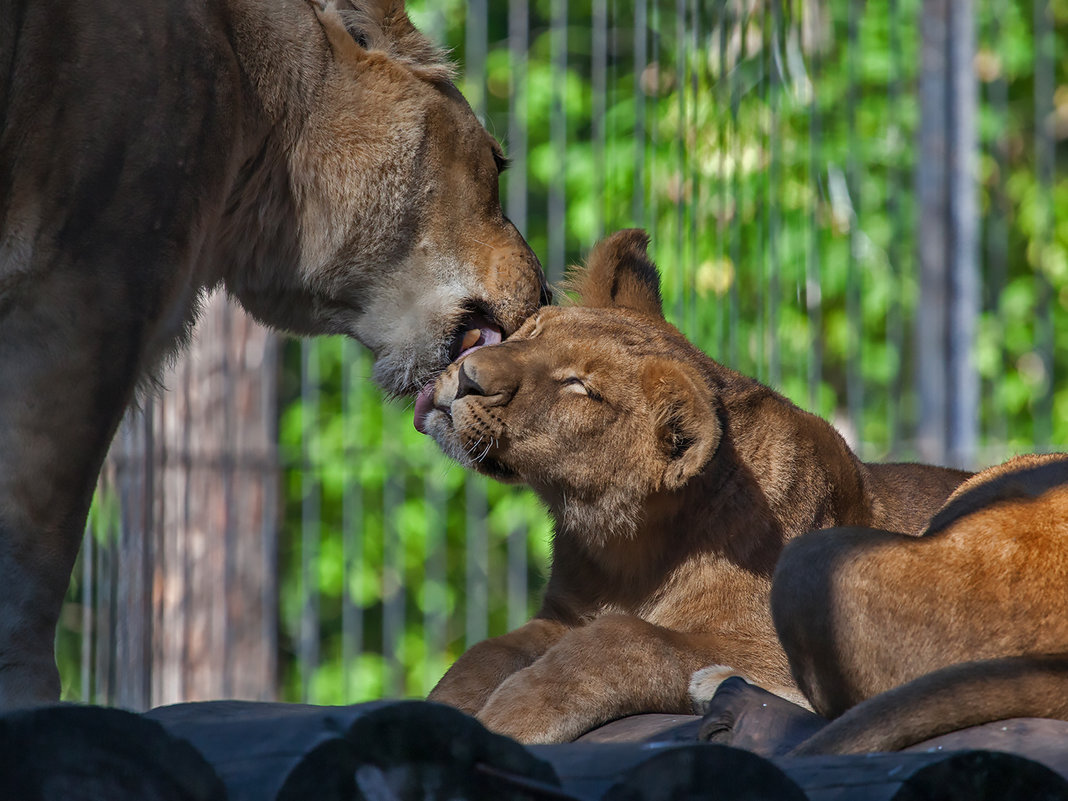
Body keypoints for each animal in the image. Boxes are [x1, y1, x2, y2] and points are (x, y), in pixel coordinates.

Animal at [420, 230, 974, 747]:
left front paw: (509, 717)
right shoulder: (562, 614)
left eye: (580, 387)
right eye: (533, 331)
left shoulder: (773, 651)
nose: (467, 376)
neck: (629, 551)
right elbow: (486, 654)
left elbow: (624, 639)